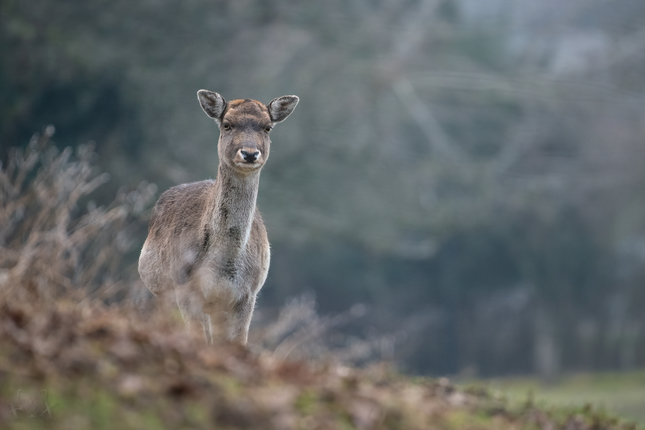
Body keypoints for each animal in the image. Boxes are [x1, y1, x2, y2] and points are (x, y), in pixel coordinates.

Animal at [138, 90, 300, 346]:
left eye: (267, 127)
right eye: (227, 124)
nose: (250, 153)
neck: (224, 267)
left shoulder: (247, 294)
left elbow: (237, 344)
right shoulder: (185, 287)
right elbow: (197, 339)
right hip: (161, 292)